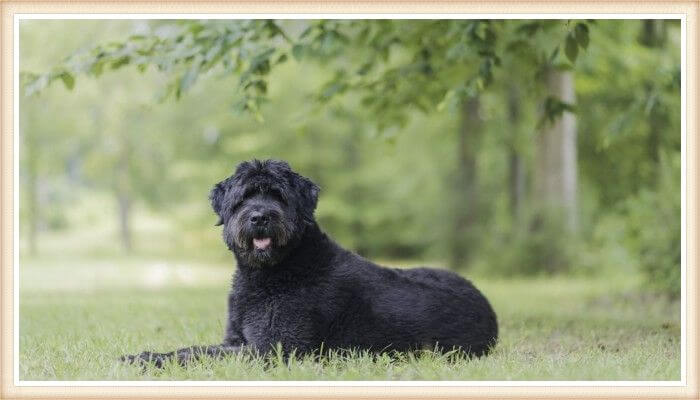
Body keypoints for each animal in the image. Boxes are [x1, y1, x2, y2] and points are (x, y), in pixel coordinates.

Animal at [123, 159, 500, 366]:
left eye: (278, 195)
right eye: (244, 197)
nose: (260, 217)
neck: (276, 271)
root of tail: (489, 310)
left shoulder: (273, 349)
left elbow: (200, 354)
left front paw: (148, 360)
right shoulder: (236, 341)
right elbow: (195, 348)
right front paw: (146, 356)